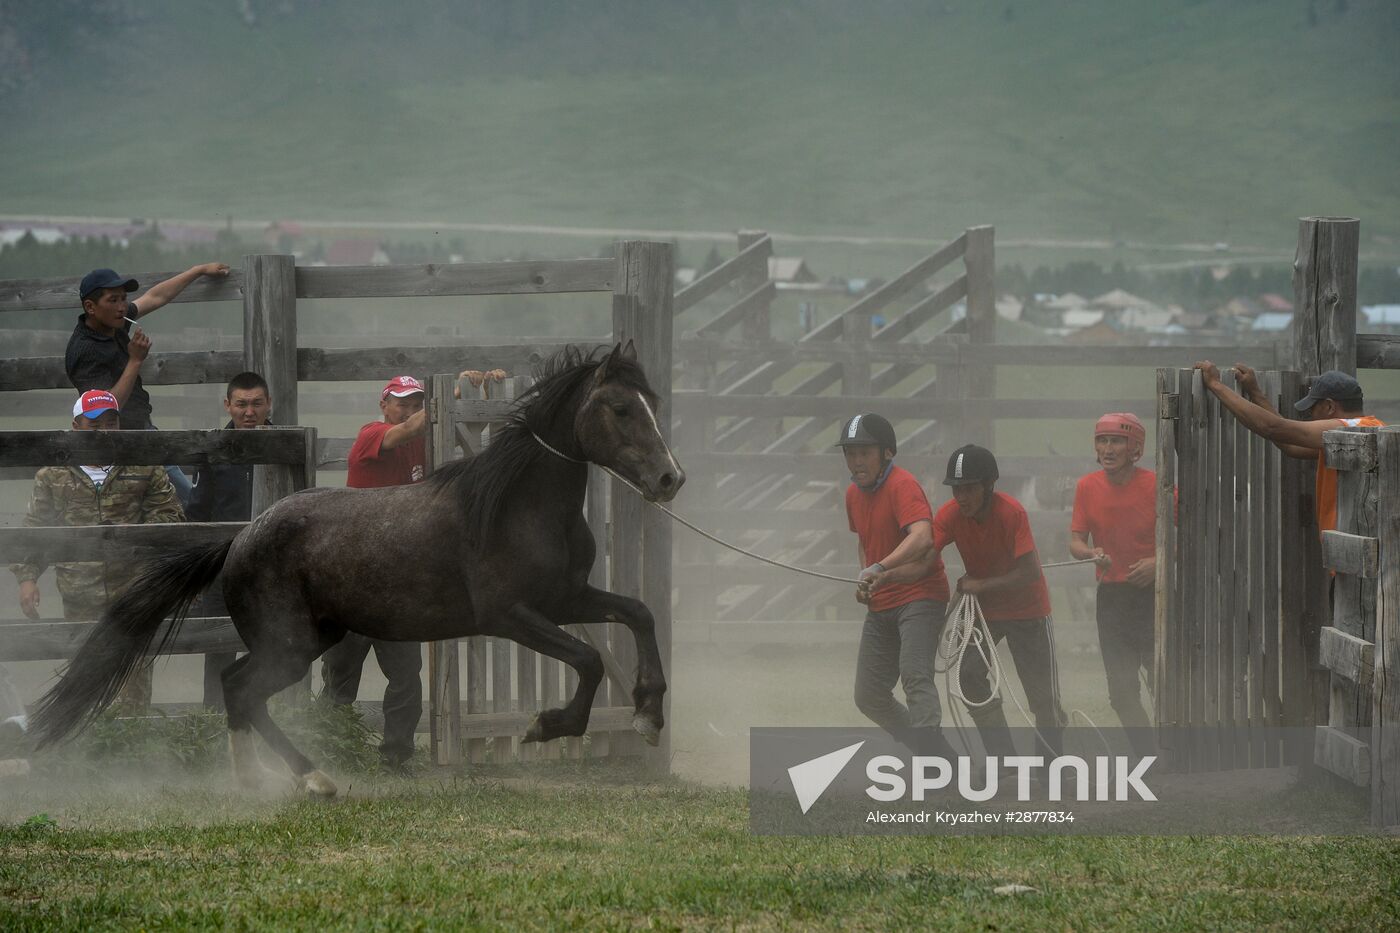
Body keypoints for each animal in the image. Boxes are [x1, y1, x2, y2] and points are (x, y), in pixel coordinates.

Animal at [30, 341, 686, 790]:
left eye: (651, 403)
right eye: (619, 408)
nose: (670, 478)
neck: (515, 505)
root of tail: (240, 539)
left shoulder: (565, 599)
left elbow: (639, 614)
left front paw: (650, 714)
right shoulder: (511, 615)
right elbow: (590, 659)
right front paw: (546, 726)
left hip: (310, 637)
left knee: (237, 687)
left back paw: (258, 780)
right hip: (291, 647)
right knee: (241, 689)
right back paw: (306, 779)